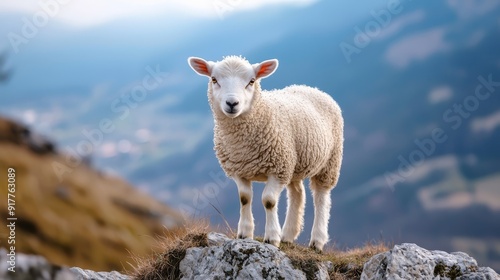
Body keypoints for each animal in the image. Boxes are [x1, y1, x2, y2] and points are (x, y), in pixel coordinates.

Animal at [188, 55, 344, 252]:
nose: (232, 103)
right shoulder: (240, 170)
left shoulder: (277, 169)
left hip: (329, 161)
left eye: (251, 81)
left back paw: (317, 240)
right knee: (297, 193)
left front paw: (271, 238)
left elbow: (269, 201)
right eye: (214, 79)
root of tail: (311, 88)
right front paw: (245, 233)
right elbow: (244, 199)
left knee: (321, 198)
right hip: (293, 163)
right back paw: (288, 235)